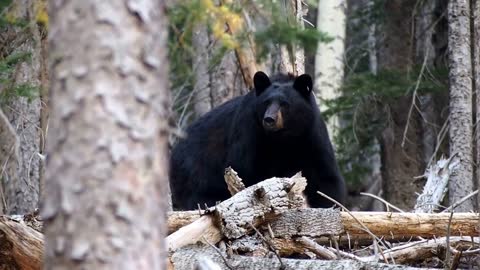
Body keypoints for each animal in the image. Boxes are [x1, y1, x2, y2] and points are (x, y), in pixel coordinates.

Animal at [171, 72, 346, 211]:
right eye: (266, 102)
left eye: (285, 104)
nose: (269, 119)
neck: (285, 137)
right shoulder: (249, 129)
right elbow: (244, 169)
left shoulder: (311, 135)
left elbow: (324, 176)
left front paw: (332, 206)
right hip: (196, 170)